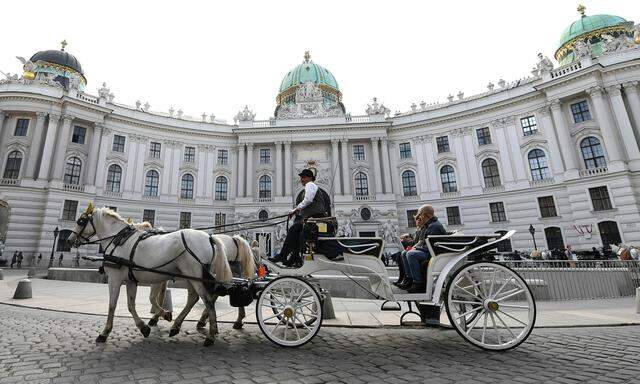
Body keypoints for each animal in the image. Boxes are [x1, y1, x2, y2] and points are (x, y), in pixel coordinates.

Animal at [69, 206, 232, 346]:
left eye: (81, 221)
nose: (69, 240)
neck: (118, 240)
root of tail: (209, 237)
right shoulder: (131, 280)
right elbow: (131, 305)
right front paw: (145, 326)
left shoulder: (115, 279)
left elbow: (112, 305)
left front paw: (105, 333)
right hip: (191, 278)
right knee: (194, 298)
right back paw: (176, 326)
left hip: (195, 276)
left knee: (208, 301)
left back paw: (210, 336)